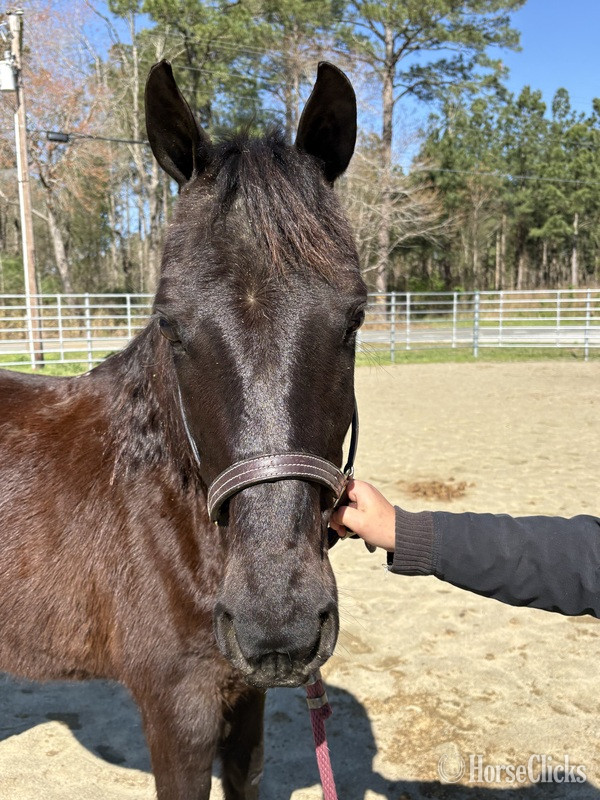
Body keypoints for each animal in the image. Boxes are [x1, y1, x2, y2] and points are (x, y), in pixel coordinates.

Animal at [0, 60, 366, 799]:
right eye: (170, 323)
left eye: (354, 319)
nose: (278, 622)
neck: (163, 514)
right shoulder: (178, 709)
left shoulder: (243, 694)